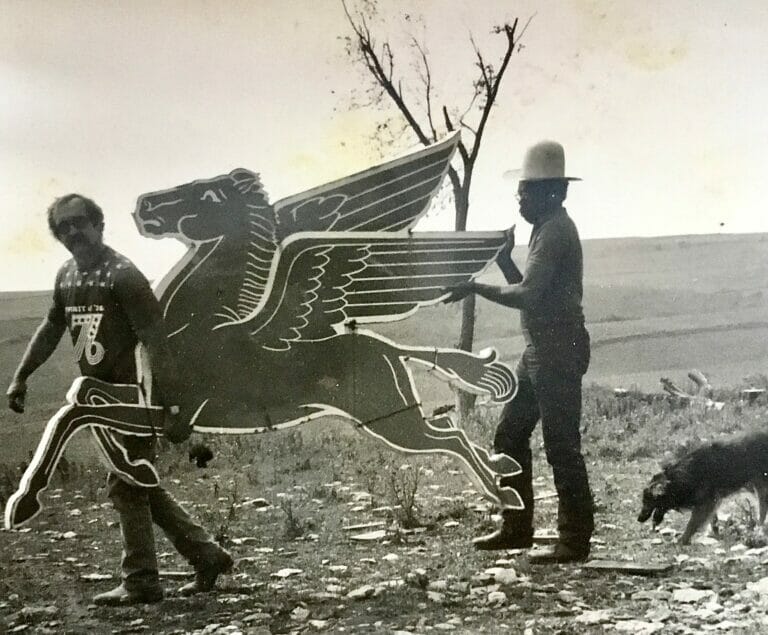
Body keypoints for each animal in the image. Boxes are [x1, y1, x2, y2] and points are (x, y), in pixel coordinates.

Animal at [640, 432, 768, 548]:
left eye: (647, 501)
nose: (639, 519)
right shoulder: (711, 501)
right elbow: (713, 521)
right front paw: (715, 535)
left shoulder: (706, 502)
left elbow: (692, 523)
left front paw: (683, 540)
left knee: (763, 509)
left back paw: (758, 530)